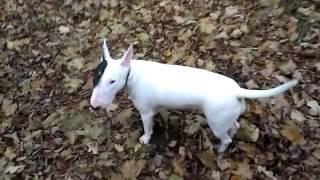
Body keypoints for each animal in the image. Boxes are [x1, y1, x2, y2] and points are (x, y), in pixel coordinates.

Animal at [89, 39, 298, 153]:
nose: (93, 106)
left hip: (215, 122)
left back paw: (220, 149)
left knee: (226, 139)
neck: (132, 73)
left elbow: (148, 128)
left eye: (112, 81)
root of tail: (236, 90)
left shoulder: (146, 113)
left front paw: (145, 139)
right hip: (225, 117)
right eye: (96, 76)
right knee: (235, 126)